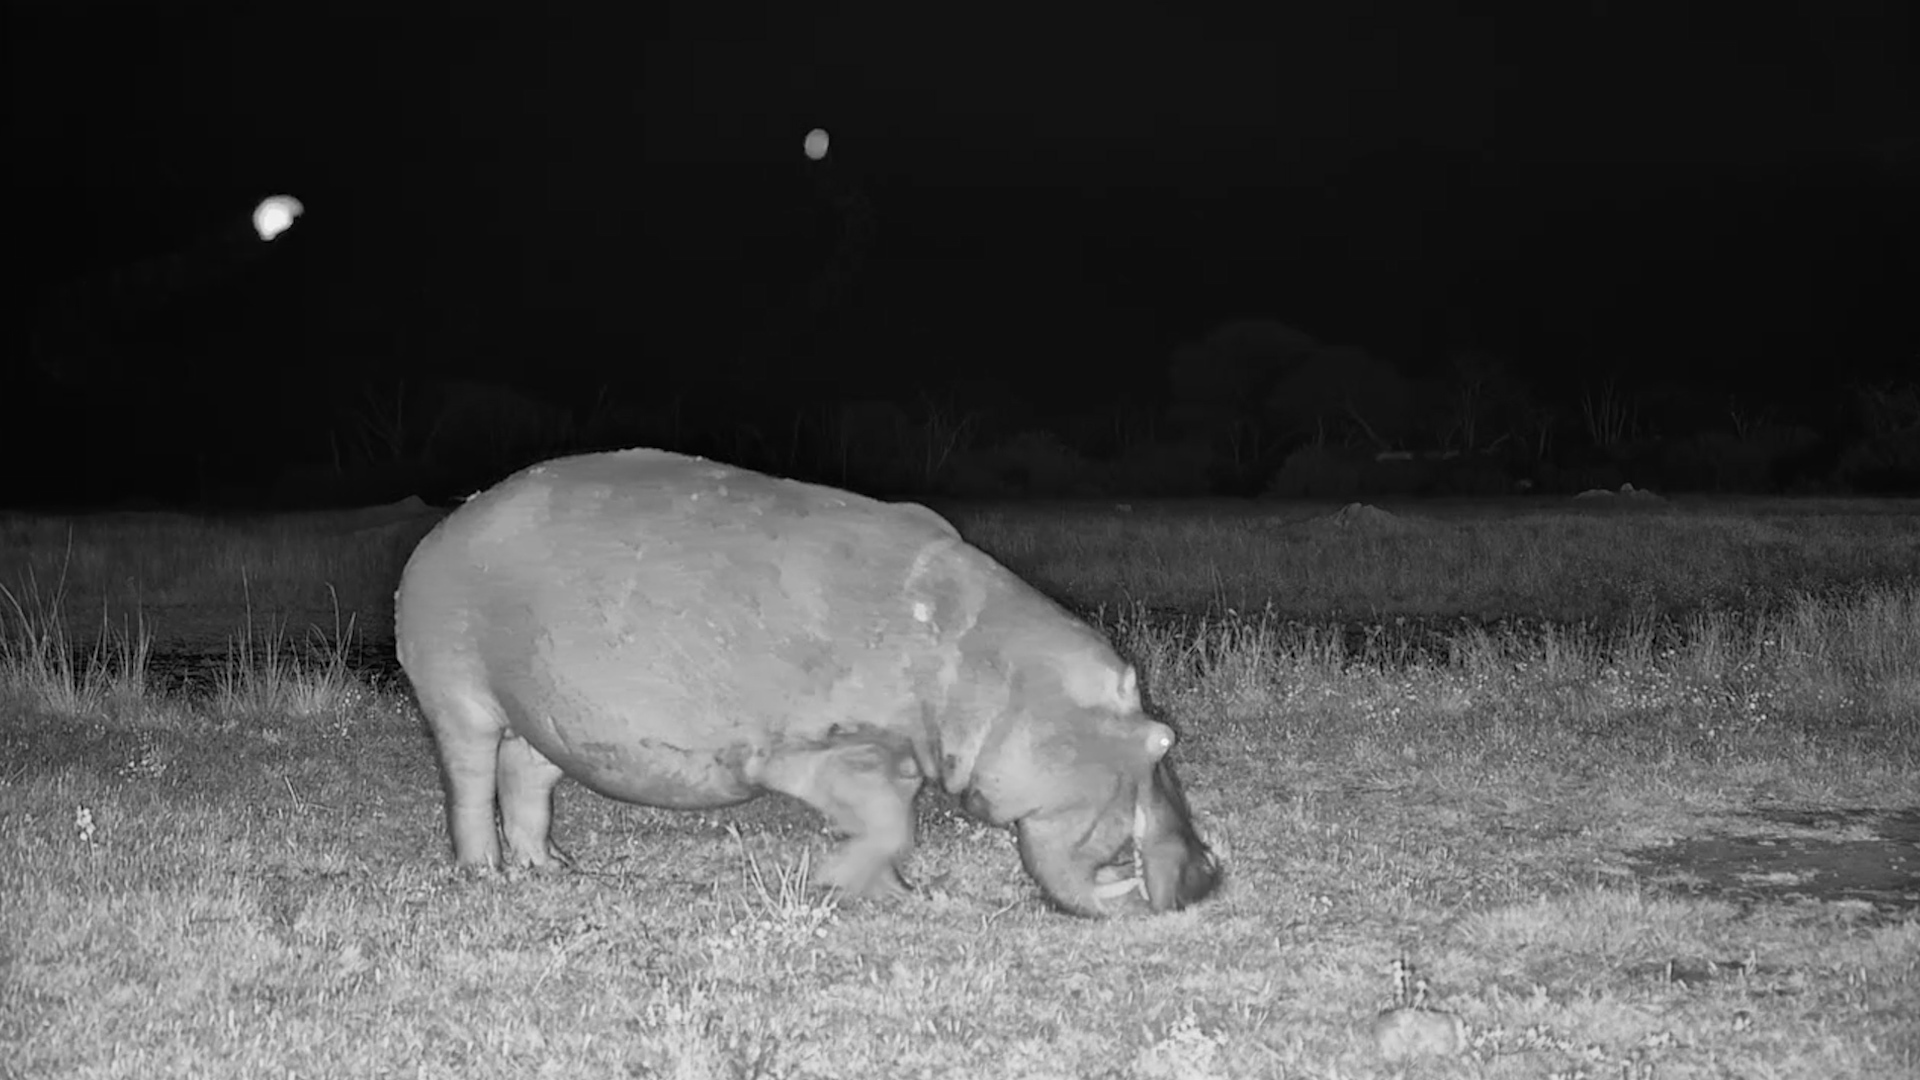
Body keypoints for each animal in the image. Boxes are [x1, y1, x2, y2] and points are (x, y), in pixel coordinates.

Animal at [395, 448, 1220, 916]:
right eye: (1162, 737)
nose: (1211, 873)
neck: (993, 674)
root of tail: (452, 521)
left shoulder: (890, 755)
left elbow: (889, 825)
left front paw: (904, 896)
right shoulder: (817, 752)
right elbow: (887, 825)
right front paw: (834, 884)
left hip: (547, 716)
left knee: (525, 779)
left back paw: (552, 867)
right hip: (459, 697)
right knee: (470, 783)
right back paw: (485, 875)